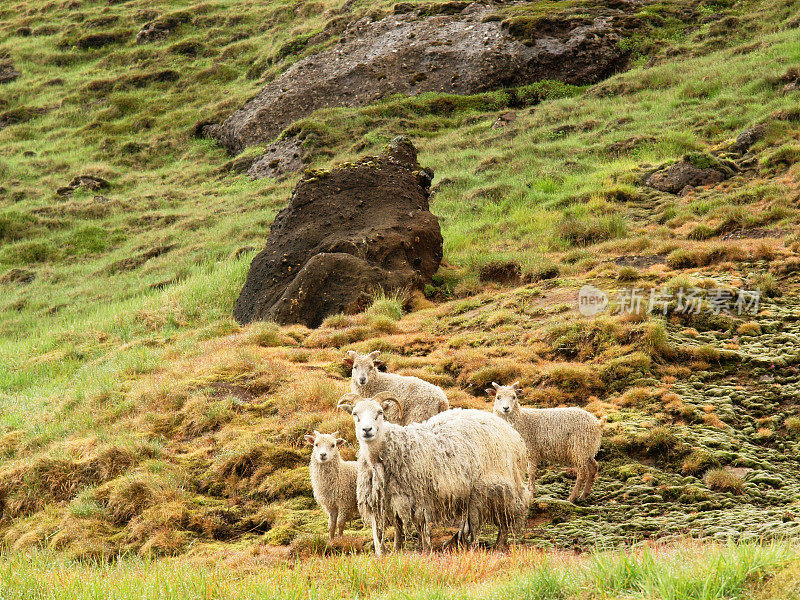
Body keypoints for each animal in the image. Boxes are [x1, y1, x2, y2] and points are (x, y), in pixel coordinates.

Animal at [340, 392, 532, 556]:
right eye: (355, 413)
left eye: (380, 412)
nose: (367, 430)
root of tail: (509, 430)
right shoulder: (389, 498)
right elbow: (397, 527)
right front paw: (396, 550)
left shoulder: (419, 496)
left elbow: (421, 526)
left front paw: (425, 550)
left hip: (491, 486)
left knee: (496, 517)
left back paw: (492, 546)